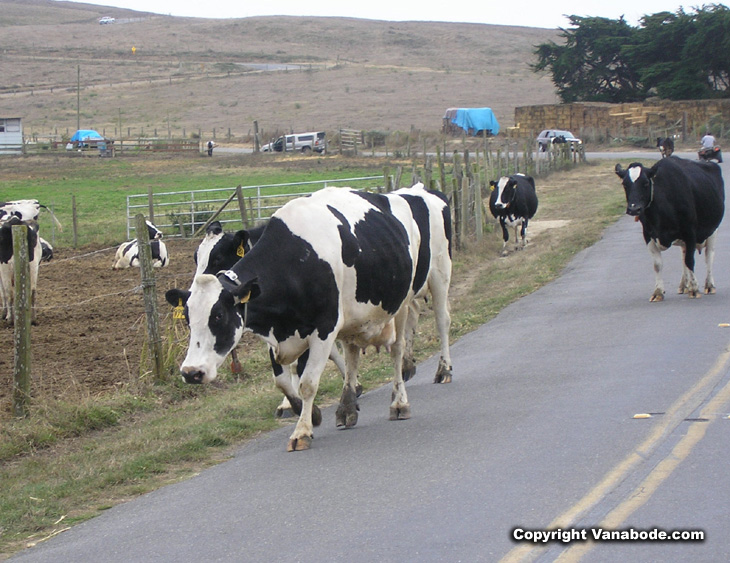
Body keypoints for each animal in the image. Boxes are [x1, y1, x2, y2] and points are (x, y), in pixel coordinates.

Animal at [166, 183, 453, 451]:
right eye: (189, 320)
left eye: (218, 316)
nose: (191, 372)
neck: (296, 260)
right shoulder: (282, 332)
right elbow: (283, 380)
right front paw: (306, 411)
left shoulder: (324, 326)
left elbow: (308, 382)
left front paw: (302, 431)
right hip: (355, 315)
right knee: (353, 353)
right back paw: (347, 407)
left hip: (424, 285)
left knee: (416, 338)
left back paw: (412, 392)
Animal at [615, 157, 725, 301]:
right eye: (625, 184)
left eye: (645, 183)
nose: (634, 209)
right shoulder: (648, 234)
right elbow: (657, 264)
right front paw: (658, 292)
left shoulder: (690, 231)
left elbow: (690, 260)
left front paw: (694, 289)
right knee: (684, 256)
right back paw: (684, 285)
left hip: (713, 231)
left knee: (709, 256)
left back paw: (709, 285)